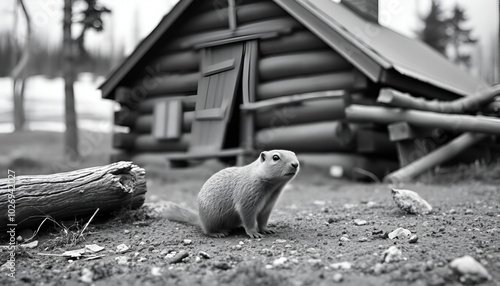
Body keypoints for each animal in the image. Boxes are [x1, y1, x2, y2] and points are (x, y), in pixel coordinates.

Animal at [164, 151, 298, 238]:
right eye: (275, 157)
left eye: (294, 154)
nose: (296, 164)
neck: (272, 188)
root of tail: (200, 220)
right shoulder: (247, 196)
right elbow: (248, 216)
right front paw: (254, 233)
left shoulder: (268, 205)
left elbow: (263, 219)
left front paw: (266, 230)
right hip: (211, 219)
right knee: (207, 231)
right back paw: (218, 233)